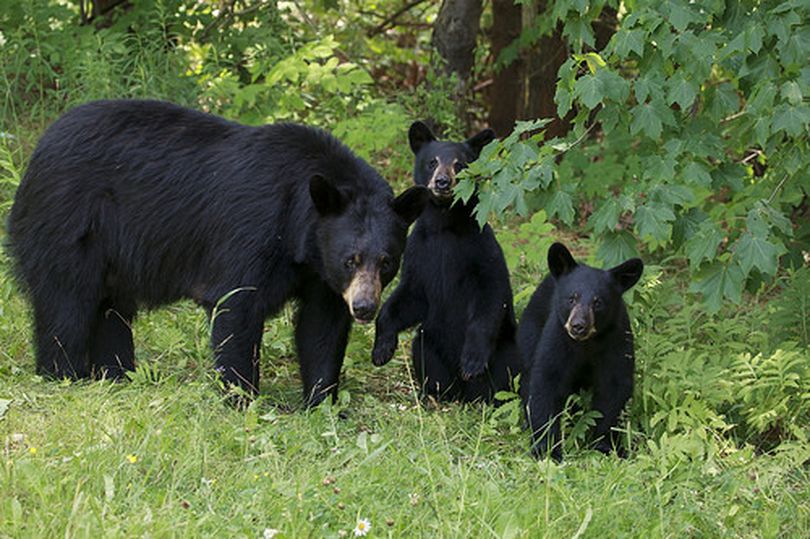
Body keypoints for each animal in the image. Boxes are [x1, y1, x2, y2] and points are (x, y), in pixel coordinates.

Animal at [7, 99, 430, 408]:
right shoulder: (251, 232)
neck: (300, 232)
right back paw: (64, 374)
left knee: (110, 311)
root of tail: (38, 150)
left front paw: (322, 402)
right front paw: (242, 397)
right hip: (68, 225)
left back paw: (118, 374)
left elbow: (321, 327)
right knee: (66, 303)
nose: (364, 307)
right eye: (350, 259)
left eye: (387, 262)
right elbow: (236, 306)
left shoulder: (319, 273)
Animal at [370, 121, 520, 400]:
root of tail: (465, 394)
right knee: (424, 352)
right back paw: (434, 394)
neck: (443, 225)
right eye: (432, 162)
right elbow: (409, 295)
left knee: (508, 370)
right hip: (430, 341)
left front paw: (472, 361)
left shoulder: (481, 249)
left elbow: (491, 294)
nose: (442, 182)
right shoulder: (418, 251)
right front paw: (382, 349)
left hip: (506, 348)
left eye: (460, 164)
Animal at [516, 244, 644, 460]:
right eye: (571, 298)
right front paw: (546, 449)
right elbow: (546, 381)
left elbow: (614, 388)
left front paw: (606, 446)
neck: (588, 343)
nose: (578, 326)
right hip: (530, 332)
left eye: (598, 302)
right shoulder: (558, 337)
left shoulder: (616, 340)